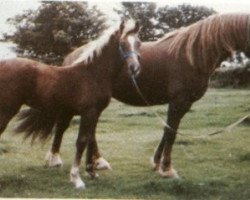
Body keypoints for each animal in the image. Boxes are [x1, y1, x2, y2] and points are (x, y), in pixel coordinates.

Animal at [0, 20, 141, 189]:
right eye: (122, 43)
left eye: (138, 43)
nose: (135, 68)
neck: (93, 74)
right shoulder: (89, 112)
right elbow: (82, 141)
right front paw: (76, 179)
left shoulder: (94, 113)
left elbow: (89, 138)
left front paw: (91, 171)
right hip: (6, 110)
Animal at [49, 13, 250, 180]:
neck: (193, 54)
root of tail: (72, 56)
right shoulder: (179, 101)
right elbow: (171, 132)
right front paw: (167, 169)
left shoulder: (181, 104)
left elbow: (167, 130)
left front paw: (156, 162)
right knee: (64, 126)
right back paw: (56, 159)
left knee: (90, 131)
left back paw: (98, 162)